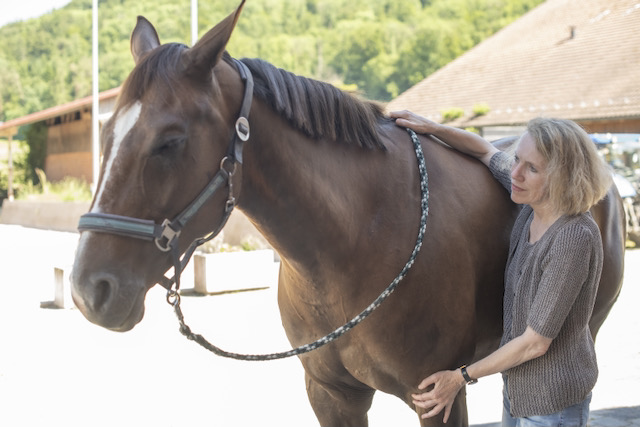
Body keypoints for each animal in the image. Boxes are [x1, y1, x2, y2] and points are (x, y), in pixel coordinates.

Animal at [70, 2, 625, 426]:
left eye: (170, 142)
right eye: (105, 136)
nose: (88, 291)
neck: (353, 240)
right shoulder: (331, 395)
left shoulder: (439, 397)